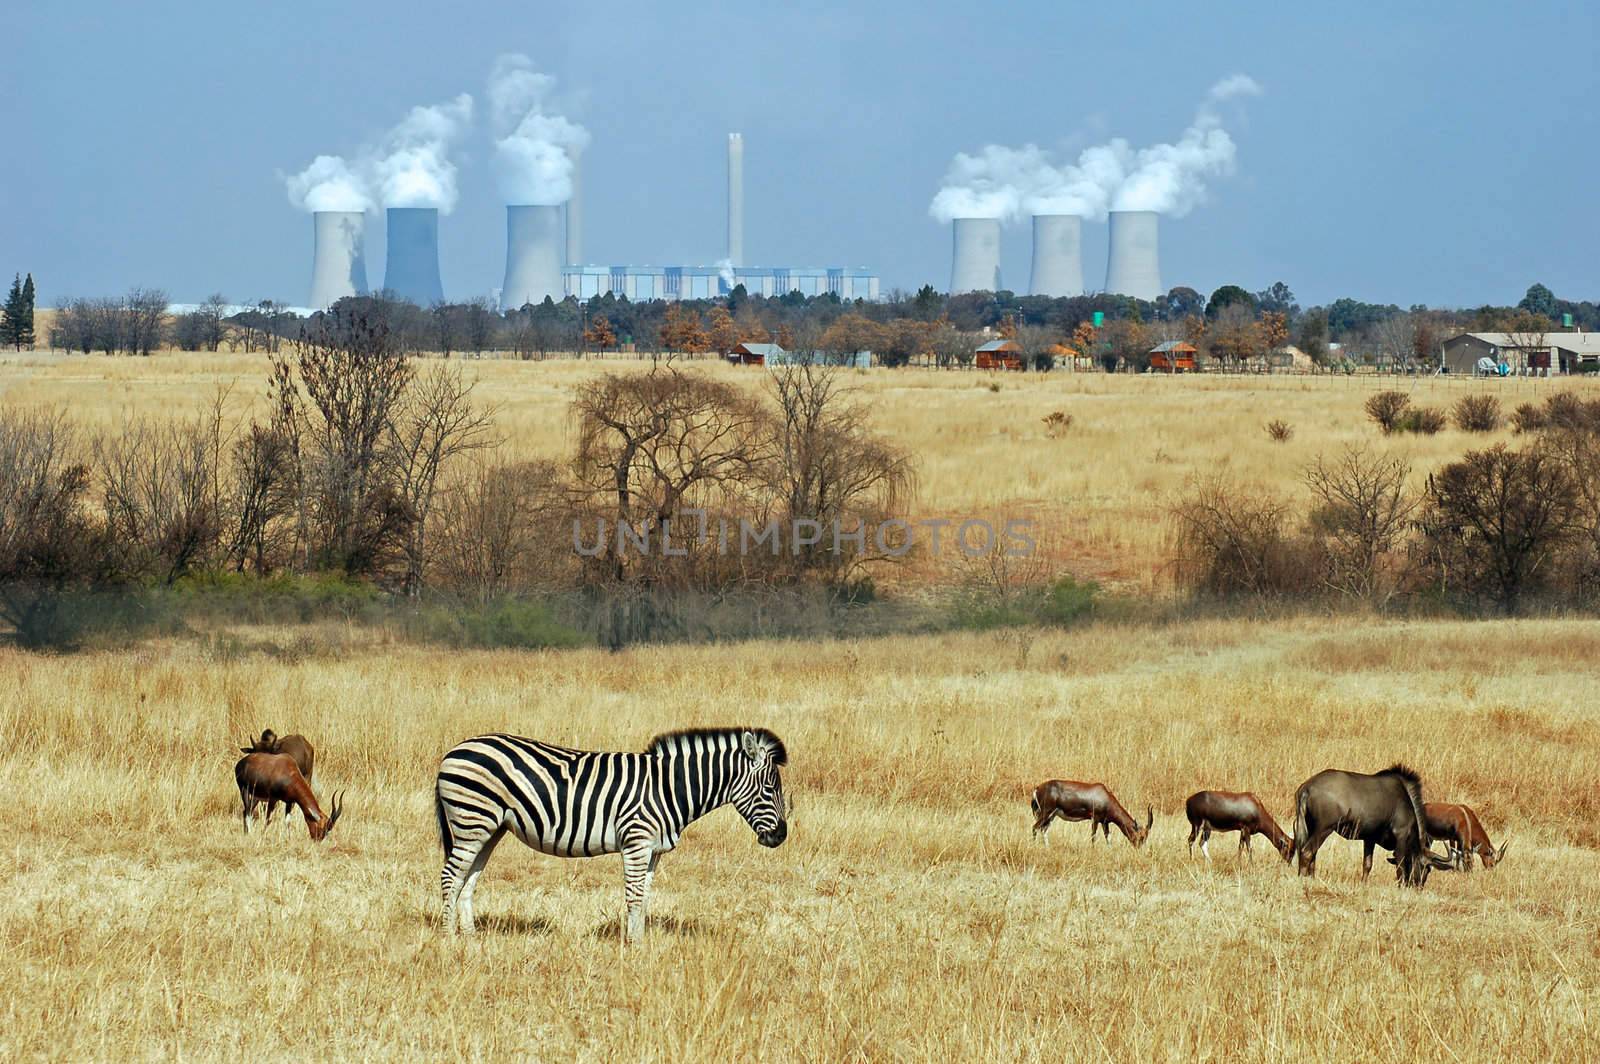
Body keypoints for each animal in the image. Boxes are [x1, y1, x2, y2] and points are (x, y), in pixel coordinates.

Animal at [435, 726, 790, 940]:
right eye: (769, 789)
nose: (781, 837)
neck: (669, 788)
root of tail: (455, 750)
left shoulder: (653, 851)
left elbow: (644, 897)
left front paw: (641, 945)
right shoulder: (636, 841)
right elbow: (633, 895)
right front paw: (633, 948)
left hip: (488, 828)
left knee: (467, 878)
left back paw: (470, 939)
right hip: (472, 821)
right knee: (450, 877)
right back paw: (449, 940)